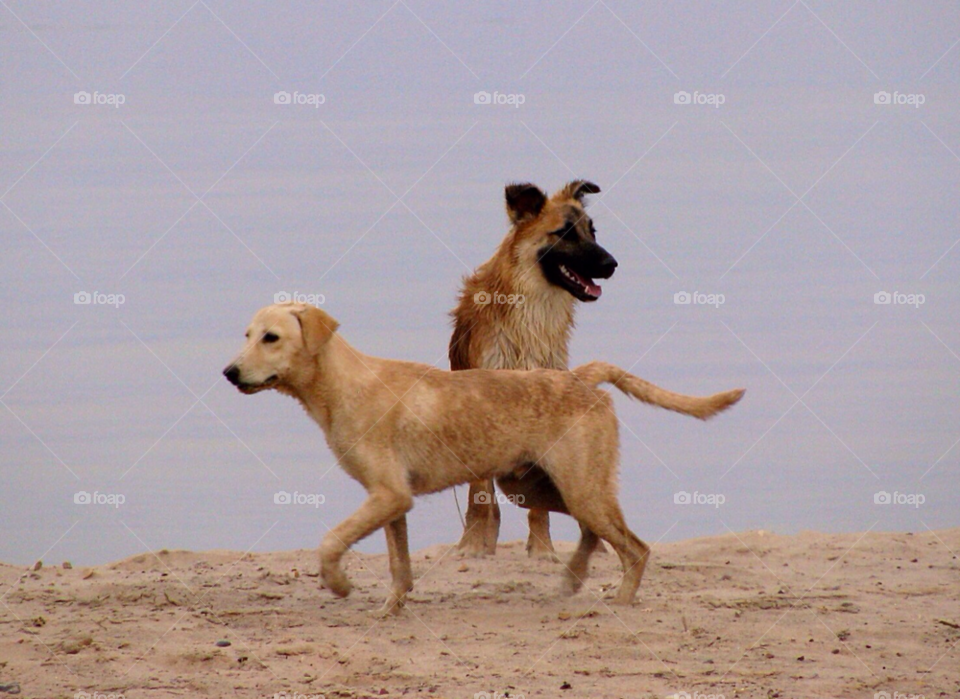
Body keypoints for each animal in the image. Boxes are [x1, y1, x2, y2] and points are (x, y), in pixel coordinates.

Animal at [223, 304, 744, 616]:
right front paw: (392, 606)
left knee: (635, 547)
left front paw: (339, 585)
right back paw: (571, 581)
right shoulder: (392, 501)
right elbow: (399, 564)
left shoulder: (388, 496)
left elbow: (331, 541)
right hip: (541, 488)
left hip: (579, 488)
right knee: (594, 534)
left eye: (271, 337)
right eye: (246, 334)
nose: (229, 372)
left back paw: (619, 600)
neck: (340, 385)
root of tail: (582, 376)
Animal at [450, 179, 616, 556]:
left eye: (592, 231)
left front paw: (541, 550)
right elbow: (481, 497)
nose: (612, 264)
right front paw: (474, 547)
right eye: (564, 233)